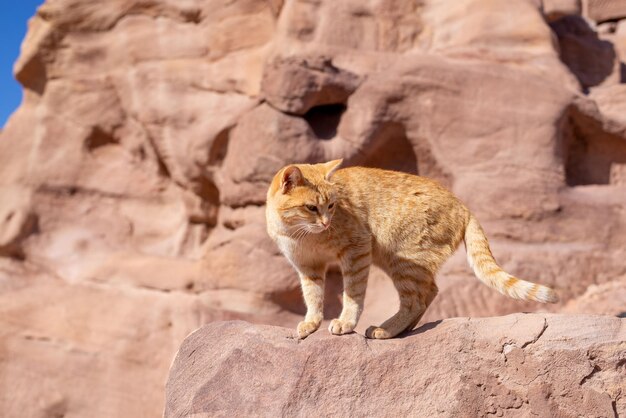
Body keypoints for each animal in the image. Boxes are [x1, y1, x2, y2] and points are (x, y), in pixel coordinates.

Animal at [264, 160, 556, 340]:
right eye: (311, 208)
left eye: (332, 206)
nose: (326, 222)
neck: (300, 235)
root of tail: (463, 205)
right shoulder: (308, 267)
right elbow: (313, 296)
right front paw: (311, 323)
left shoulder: (356, 250)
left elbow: (352, 294)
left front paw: (346, 323)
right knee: (429, 292)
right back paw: (403, 328)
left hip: (403, 259)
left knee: (416, 299)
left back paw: (386, 330)